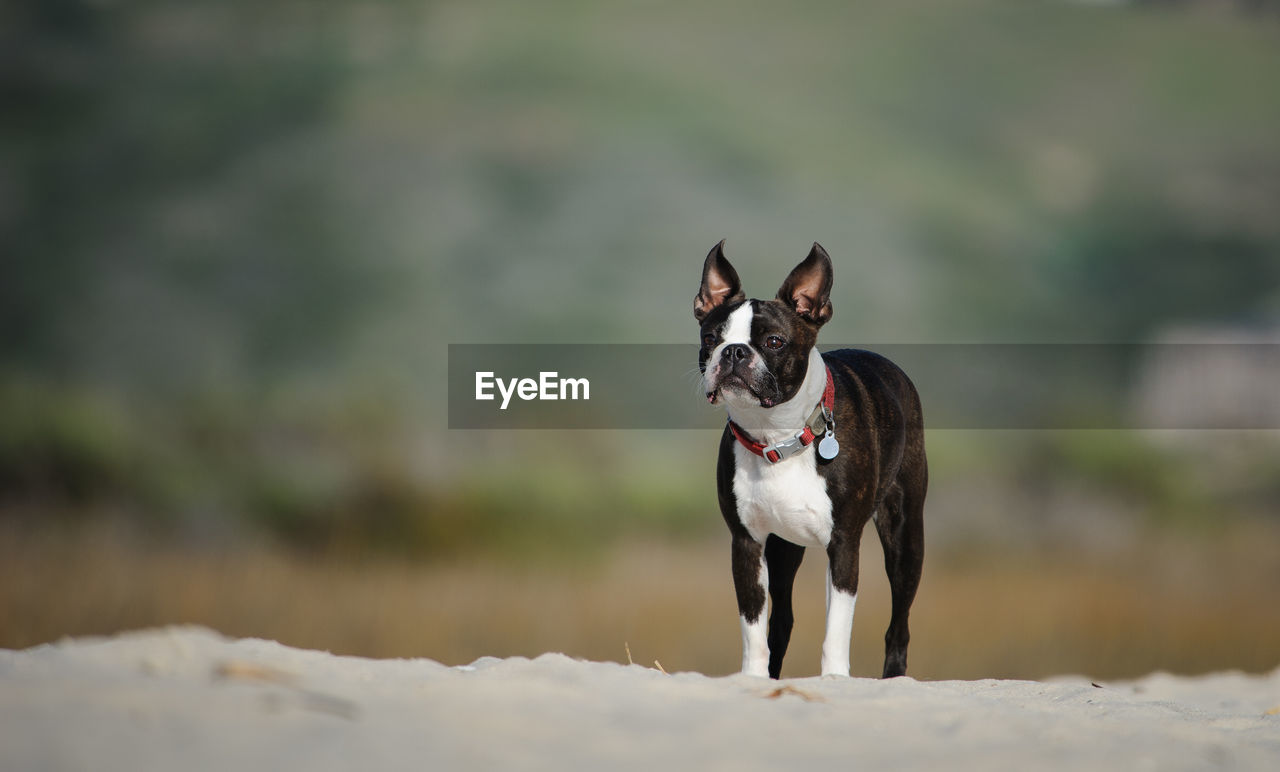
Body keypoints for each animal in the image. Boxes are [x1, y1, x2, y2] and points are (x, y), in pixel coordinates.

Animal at [696, 238, 926, 681]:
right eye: (711, 336)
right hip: (783, 549)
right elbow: (753, 625)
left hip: (905, 537)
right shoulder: (747, 544)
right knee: (780, 622)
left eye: (773, 342)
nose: (733, 352)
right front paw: (752, 679)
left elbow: (836, 627)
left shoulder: (844, 545)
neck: (778, 437)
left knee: (900, 624)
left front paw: (835, 679)